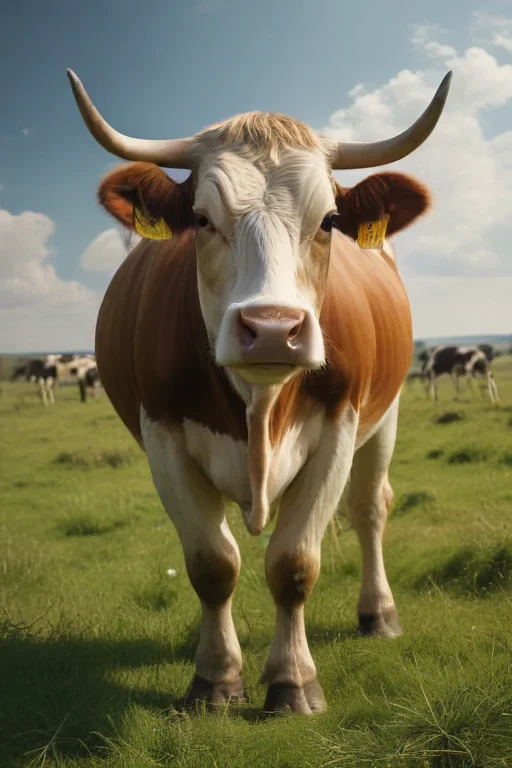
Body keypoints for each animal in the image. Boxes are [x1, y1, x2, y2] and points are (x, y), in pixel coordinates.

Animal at [67, 66, 452, 715]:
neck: (261, 406)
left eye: (328, 221)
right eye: (201, 219)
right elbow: (212, 564)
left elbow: (294, 563)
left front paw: (293, 683)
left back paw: (378, 613)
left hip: (388, 413)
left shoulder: (340, 427)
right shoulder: (162, 434)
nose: (273, 328)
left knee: (369, 508)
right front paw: (216, 680)